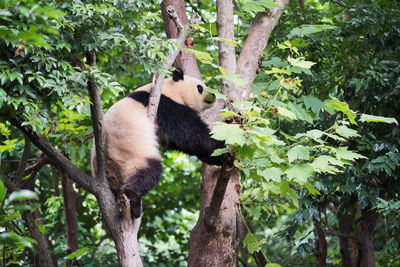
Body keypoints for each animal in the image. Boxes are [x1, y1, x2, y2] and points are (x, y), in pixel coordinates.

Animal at [91, 69, 227, 220]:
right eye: (200, 88)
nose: (214, 95)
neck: (169, 89)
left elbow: (184, 143)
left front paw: (216, 158)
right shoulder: (165, 105)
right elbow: (190, 133)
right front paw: (223, 149)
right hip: (130, 155)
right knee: (149, 172)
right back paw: (134, 200)